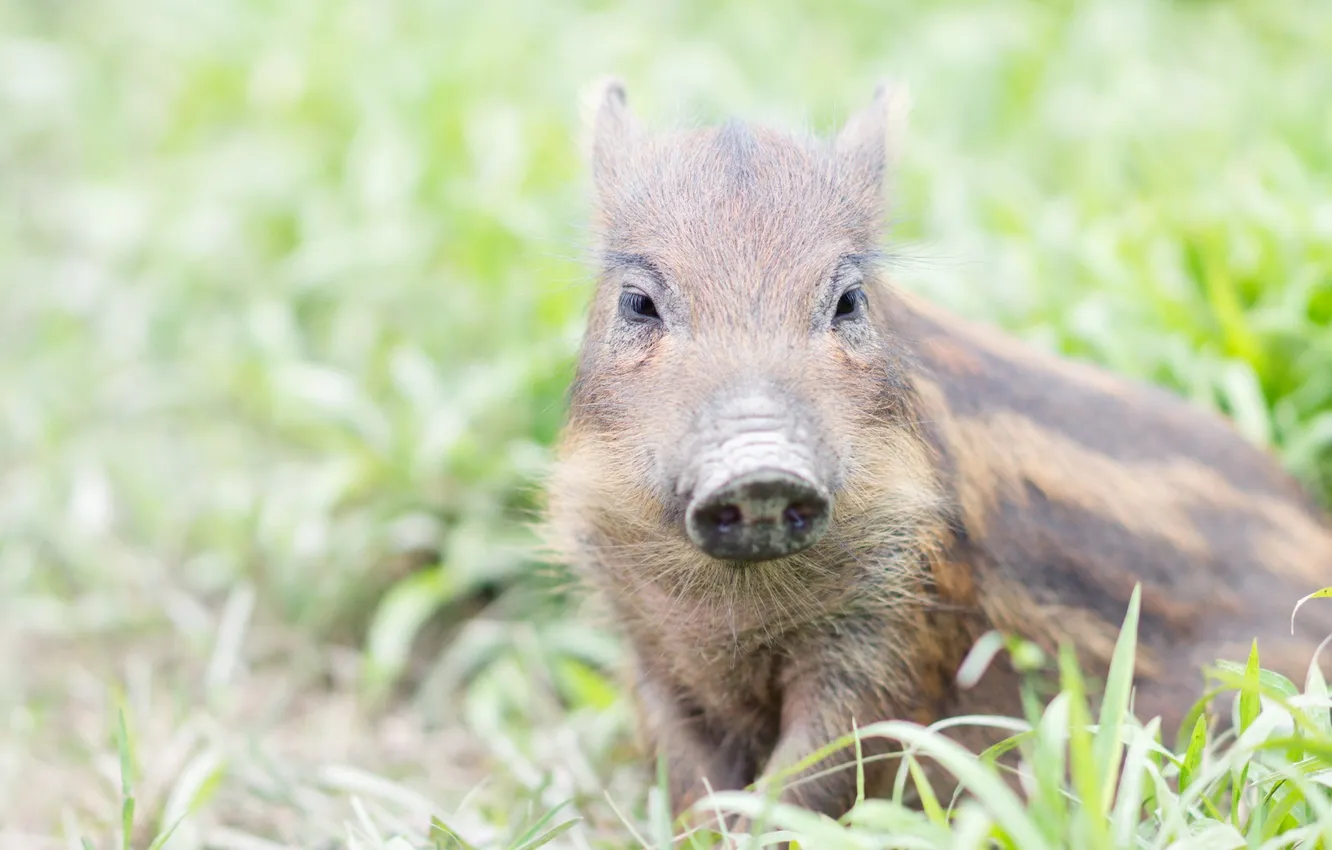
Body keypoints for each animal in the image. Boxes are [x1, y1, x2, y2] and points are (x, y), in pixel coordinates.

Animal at [540, 78, 1332, 829]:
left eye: (849, 300)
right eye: (638, 302)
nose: (760, 469)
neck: (733, 606)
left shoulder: (901, 620)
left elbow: (823, 766)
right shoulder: (640, 637)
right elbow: (689, 779)